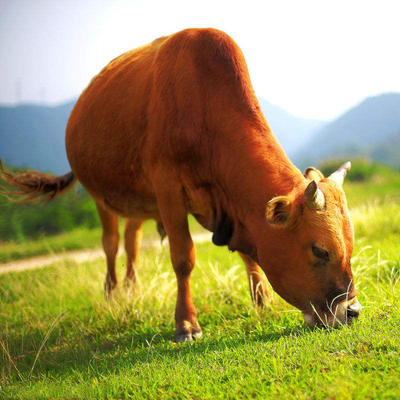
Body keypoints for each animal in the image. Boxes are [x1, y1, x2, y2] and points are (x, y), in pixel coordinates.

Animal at [0, 28, 360, 340]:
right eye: (319, 250)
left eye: (350, 246)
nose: (352, 311)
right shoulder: (168, 188)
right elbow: (183, 257)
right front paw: (186, 325)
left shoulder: (234, 210)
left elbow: (250, 255)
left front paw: (262, 302)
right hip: (100, 196)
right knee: (111, 243)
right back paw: (113, 293)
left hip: (138, 199)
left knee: (131, 240)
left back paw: (133, 289)